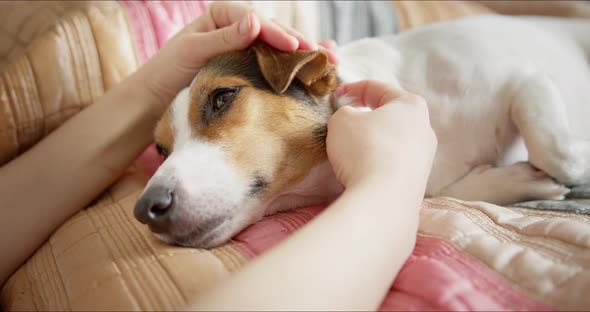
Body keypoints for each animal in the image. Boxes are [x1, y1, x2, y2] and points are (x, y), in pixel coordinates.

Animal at [134, 15, 590, 249]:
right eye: (160, 149)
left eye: (223, 97)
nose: (145, 209)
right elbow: (456, 187)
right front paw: (519, 180)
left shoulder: (524, 78)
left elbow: (557, 152)